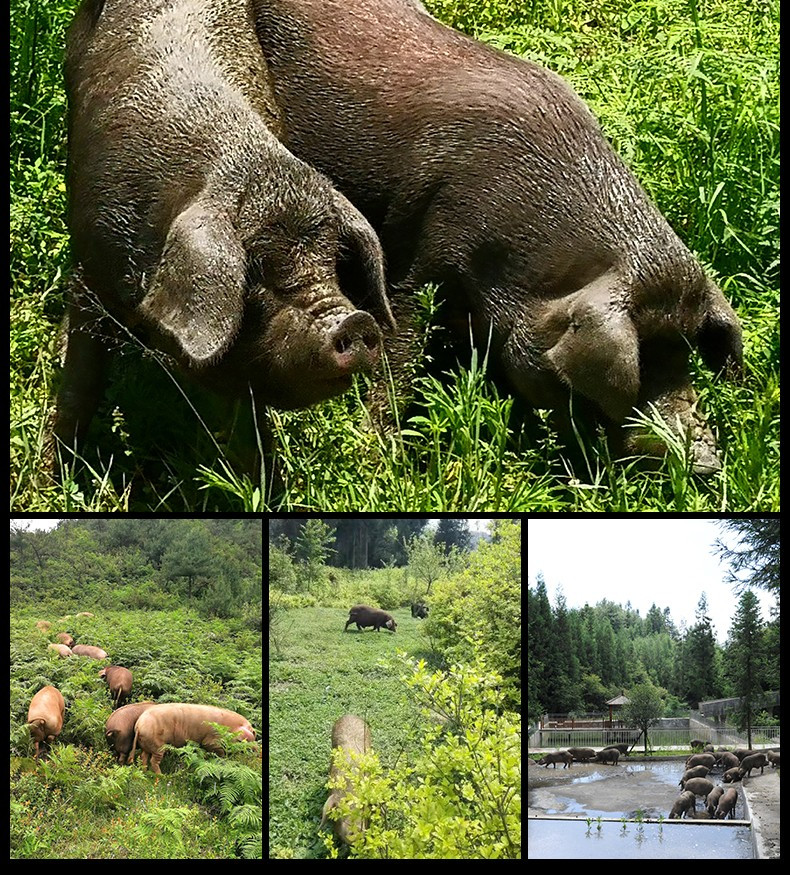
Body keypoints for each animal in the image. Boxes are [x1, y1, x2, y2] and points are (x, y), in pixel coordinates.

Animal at [54, 0, 394, 462]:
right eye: (257, 275)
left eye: (333, 262)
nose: (354, 320)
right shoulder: (93, 265)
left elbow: (250, 427)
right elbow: (81, 381)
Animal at [254, 0, 744, 472]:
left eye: (686, 354)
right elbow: (401, 344)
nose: (707, 463)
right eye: (640, 362)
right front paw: (384, 457)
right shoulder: (427, 254)